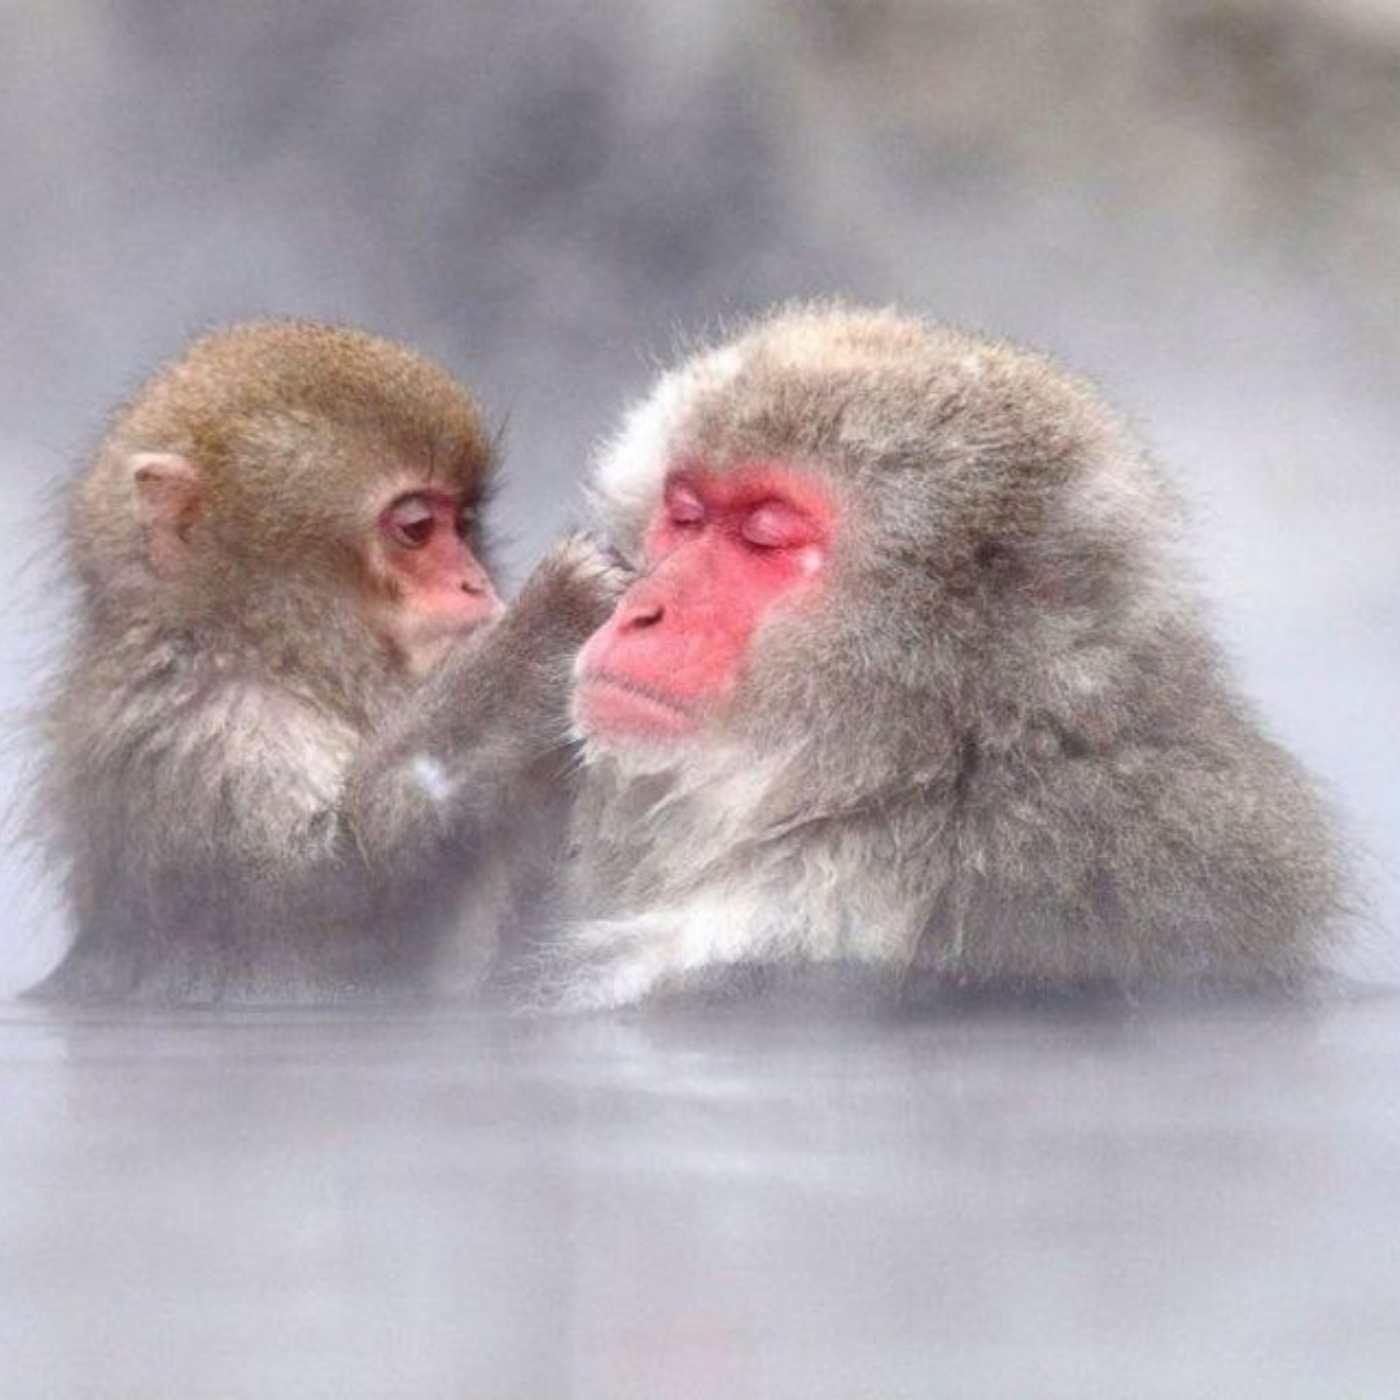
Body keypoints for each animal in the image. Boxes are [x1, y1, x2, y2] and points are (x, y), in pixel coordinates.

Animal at [29, 320, 620, 1003]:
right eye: (417, 527)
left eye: (465, 524)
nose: (476, 582)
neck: (273, 657)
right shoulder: (206, 733)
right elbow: (329, 903)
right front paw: (543, 631)